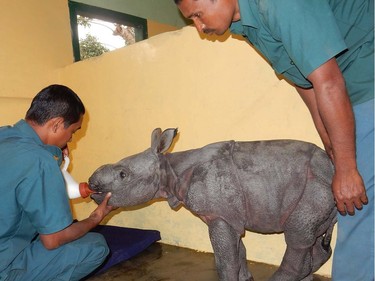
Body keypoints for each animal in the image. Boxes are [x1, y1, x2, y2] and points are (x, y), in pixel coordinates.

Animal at [90, 127, 338, 280]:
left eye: (123, 175)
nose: (91, 184)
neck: (169, 170)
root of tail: (333, 168)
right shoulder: (228, 216)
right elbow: (239, 251)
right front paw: (246, 277)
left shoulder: (219, 215)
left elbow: (225, 259)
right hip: (322, 188)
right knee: (312, 236)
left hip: (316, 184)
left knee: (297, 235)